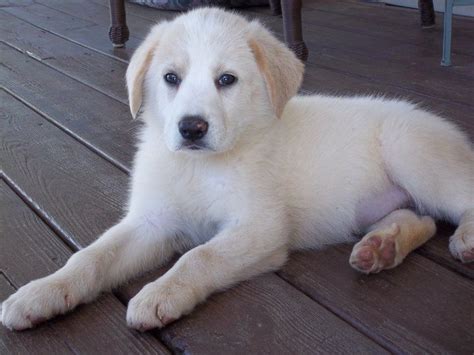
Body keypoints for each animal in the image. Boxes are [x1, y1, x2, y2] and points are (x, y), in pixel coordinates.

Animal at [1, 6, 472, 332]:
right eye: (171, 78)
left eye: (226, 80)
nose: (191, 128)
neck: (198, 168)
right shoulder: (150, 222)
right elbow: (91, 256)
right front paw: (41, 292)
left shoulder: (259, 227)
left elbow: (198, 256)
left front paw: (162, 293)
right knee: (421, 219)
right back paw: (381, 247)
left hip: (413, 154)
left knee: (459, 200)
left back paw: (461, 239)